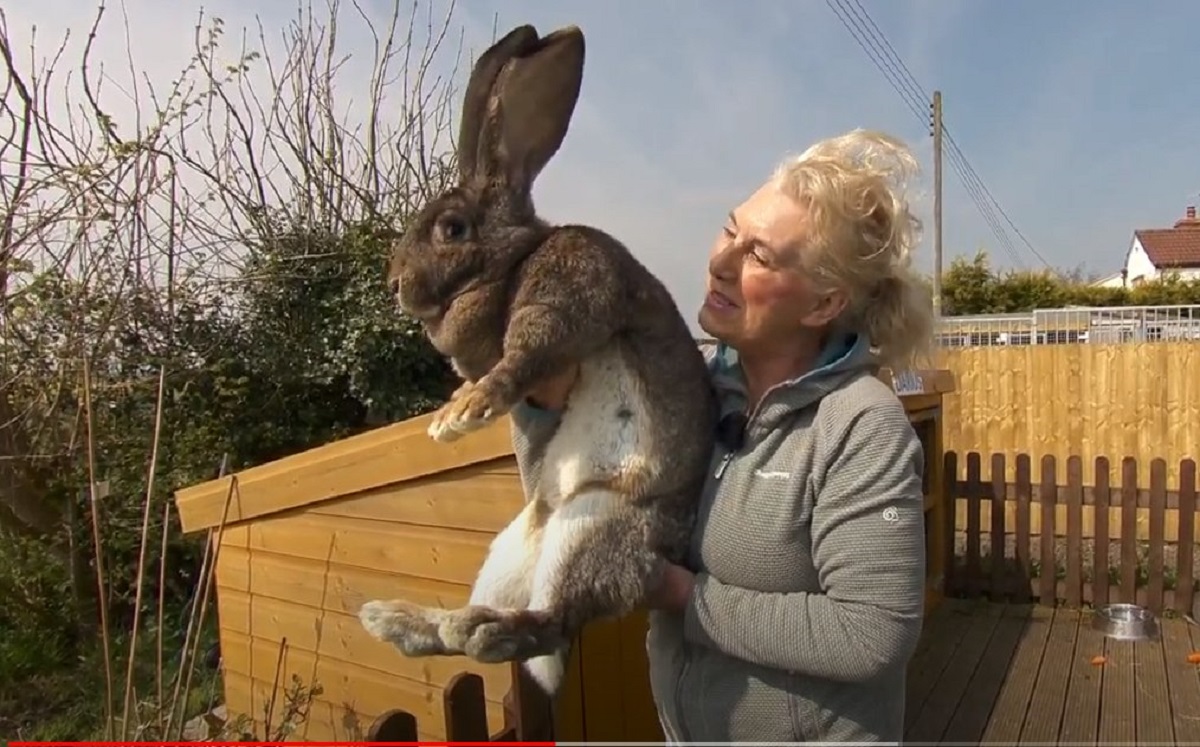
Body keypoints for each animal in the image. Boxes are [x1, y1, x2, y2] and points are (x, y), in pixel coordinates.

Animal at [356, 23, 718, 698]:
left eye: (451, 228)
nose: (394, 285)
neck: (509, 262)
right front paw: (453, 409)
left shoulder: (561, 303)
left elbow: (524, 356)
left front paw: (458, 416)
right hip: (514, 548)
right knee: (492, 626)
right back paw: (398, 620)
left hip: (595, 526)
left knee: (552, 624)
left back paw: (478, 632)